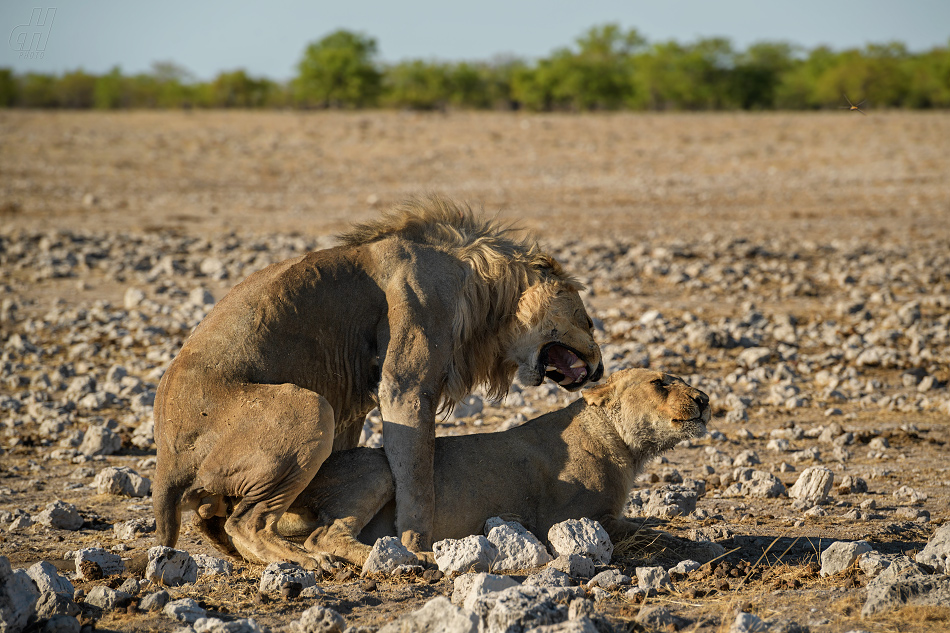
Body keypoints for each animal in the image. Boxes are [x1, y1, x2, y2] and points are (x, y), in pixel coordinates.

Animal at [153, 194, 608, 568]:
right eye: (587, 321)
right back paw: (311, 559)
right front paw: (417, 548)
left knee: (228, 522)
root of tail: (167, 460)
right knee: (246, 523)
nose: (601, 368)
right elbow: (418, 484)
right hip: (310, 407)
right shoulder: (405, 386)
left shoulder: (354, 409)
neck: (482, 289)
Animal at [274, 368, 708, 564]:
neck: (628, 447)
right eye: (660, 383)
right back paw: (408, 557)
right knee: (324, 538)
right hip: (378, 469)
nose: (704, 399)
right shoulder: (576, 519)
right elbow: (655, 534)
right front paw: (704, 543)